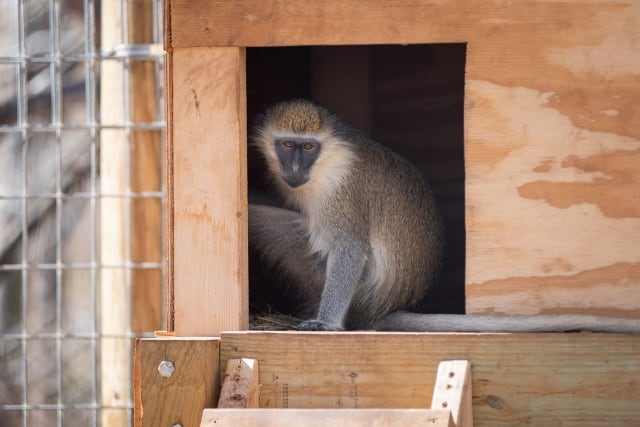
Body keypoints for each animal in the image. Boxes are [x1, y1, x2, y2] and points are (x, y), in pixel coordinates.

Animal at [249, 100, 640, 334]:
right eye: (287, 145)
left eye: (308, 147)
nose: (295, 168)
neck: (325, 164)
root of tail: (383, 307)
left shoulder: (343, 197)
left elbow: (349, 249)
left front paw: (326, 323)